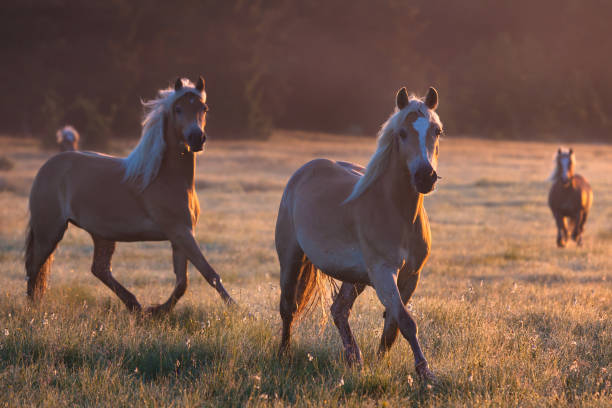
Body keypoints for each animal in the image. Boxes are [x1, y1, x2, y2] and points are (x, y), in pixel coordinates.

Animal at [25, 75, 234, 312]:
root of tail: (47, 167)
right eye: (178, 109)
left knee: (100, 269)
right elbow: (210, 274)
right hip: (49, 231)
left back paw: (135, 305)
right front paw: (238, 309)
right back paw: (32, 309)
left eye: (204, 108)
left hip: (101, 234)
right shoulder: (180, 232)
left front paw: (157, 311)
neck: (166, 178)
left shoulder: (180, 236)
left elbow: (182, 282)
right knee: (34, 269)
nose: (196, 138)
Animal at [274, 85, 442, 380]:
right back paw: (285, 354)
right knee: (288, 308)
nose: (425, 176)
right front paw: (425, 373)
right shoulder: (384, 272)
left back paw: (355, 358)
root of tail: (303, 172)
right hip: (291, 259)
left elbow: (393, 325)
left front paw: (380, 362)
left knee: (339, 310)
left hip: (355, 278)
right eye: (402, 133)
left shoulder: (411, 277)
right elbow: (406, 321)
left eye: (436, 130)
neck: (398, 211)